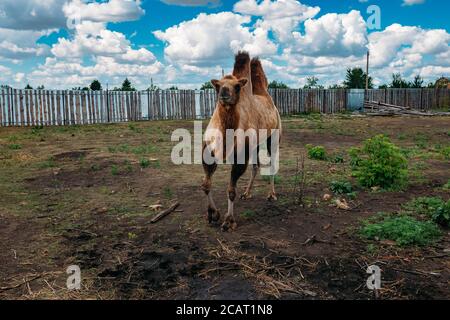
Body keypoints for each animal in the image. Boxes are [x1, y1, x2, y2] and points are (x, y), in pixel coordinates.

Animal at [201, 52, 282, 232]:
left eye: (237, 86)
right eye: (217, 85)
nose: (224, 93)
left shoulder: (240, 157)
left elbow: (231, 190)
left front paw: (229, 221)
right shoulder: (209, 152)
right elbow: (206, 185)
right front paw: (212, 214)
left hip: (273, 137)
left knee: (272, 163)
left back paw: (272, 195)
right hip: (255, 144)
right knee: (256, 166)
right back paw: (247, 193)